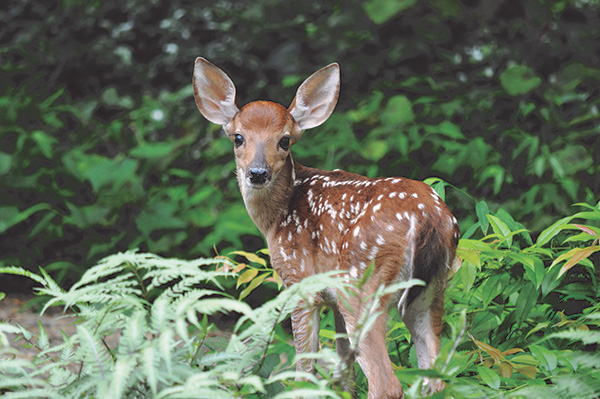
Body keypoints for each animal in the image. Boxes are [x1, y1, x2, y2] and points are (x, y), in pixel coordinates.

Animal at [192, 57, 460, 398]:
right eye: (238, 137)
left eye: (285, 140)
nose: (257, 173)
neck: (277, 217)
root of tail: (430, 219)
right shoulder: (330, 297)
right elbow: (344, 373)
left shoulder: (299, 281)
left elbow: (305, 367)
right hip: (433, 288)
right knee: (436, 377)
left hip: (362, 282)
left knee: (387, 384)